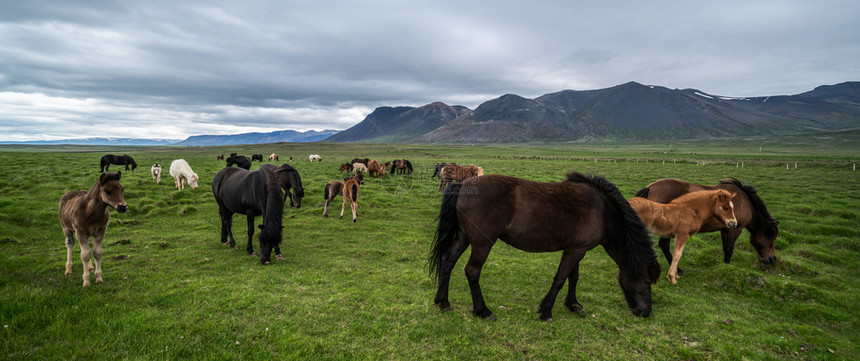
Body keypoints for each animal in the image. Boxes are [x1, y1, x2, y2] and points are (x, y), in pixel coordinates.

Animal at [428, 170, 660, 320]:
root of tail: (462, 186)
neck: (603, 211)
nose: (646, 312)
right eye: (647, 280)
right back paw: (483, 311)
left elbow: (573, 277)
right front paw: (546, 311)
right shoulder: (575, 251)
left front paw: (573, 305)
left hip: (463, 237)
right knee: (472, 271)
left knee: (447, 261)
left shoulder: (577, 249)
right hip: (482, 243)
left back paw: (443, 302)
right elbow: (560, 279)